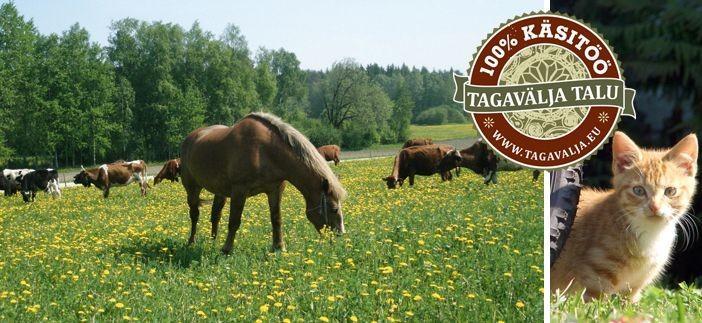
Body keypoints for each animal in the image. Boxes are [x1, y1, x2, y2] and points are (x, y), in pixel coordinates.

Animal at [180, 112, 348, 254]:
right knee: (194, 215)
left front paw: (279, 247)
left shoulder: (275, 190)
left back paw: (213, 241)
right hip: (192, 188)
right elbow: (234, 221)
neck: (264, 151)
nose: (340, 234)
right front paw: (226, 249)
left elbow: (276, 219)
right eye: (333, 209)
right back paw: (192, 242)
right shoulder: (239, 191)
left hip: (220, 192)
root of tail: (190, 138)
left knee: (215, 215)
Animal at [556, 130, 700, 302]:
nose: (654, 207)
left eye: (670, 191)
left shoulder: (635, 288)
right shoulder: (594, 282)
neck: (650, 233)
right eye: (638, 190)